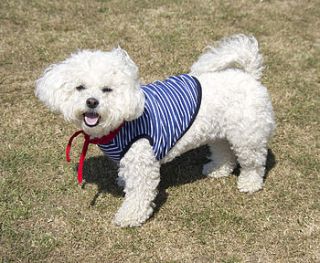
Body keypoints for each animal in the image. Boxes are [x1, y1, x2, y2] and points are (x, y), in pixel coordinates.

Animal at [35, 35, 276, 228]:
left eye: (107, 90)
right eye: (80, 87)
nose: (92, 102)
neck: (121, 122)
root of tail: (249, 75)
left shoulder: (142, 163)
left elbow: (138, 195)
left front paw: (129, 217)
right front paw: (122, 182)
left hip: (248, 136)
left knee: (254, 162)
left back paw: (249, 183)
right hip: (220, 132)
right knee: (223, 151)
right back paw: (218, 169)